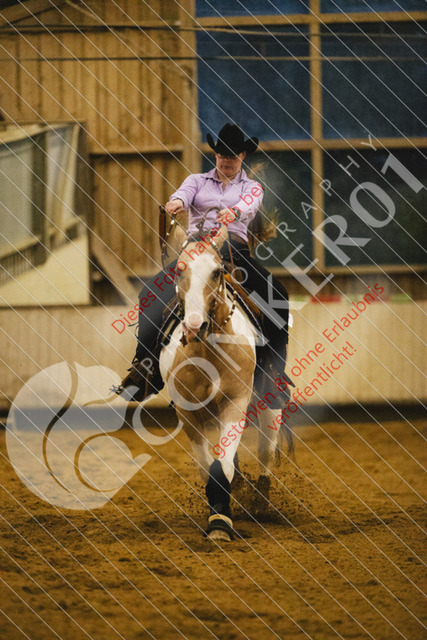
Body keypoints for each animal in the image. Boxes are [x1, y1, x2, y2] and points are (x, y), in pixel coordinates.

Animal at [158, 225, 287, 542]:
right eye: (179, 271)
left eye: (217, 272)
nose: (194, 327)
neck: (207, 350)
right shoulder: (187, 413)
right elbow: (208, 468)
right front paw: (218, 510)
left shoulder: (235, 402)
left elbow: (224, 466)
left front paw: (220, 523)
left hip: (269, 402)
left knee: (266, 451)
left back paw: (261, 505)